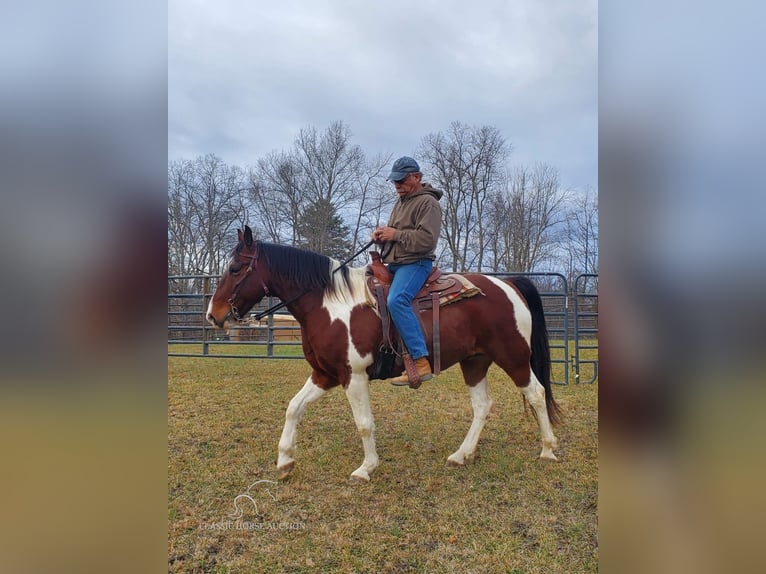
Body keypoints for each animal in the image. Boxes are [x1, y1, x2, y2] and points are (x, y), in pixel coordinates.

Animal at [206, 227, 564, 484]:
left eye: (235, 268)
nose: (213, 315)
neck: (329, 304)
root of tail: (509, 285)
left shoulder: (353, 376)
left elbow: (364, 424)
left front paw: (366, 468)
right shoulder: (325, 374)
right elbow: (294, 408)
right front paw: (284, 461)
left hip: (514, 357)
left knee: (536, 393)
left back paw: (548, 450)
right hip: (474, 361)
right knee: (482, 406)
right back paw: (461, 454)